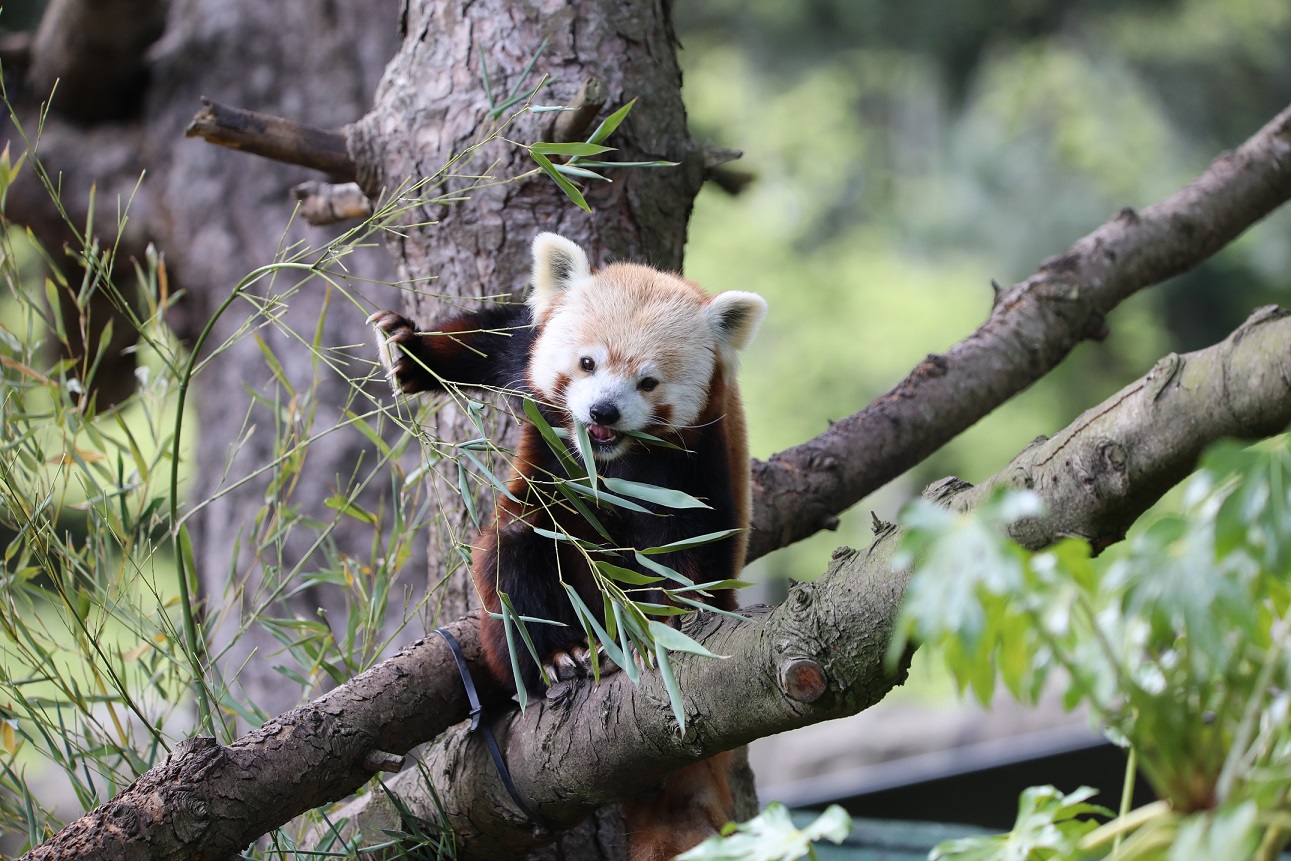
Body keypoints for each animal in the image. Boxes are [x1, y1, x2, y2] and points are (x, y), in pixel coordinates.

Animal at [364, 232, 764, 861]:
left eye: (648, 382)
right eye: (587, 363)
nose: (602, 411)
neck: (611, 458)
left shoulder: (698, 462)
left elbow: (683, 550)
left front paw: (659, 626)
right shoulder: (526, 348)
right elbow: (484, 342)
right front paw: (404, 346)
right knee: (513, 549)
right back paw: (558, 656)